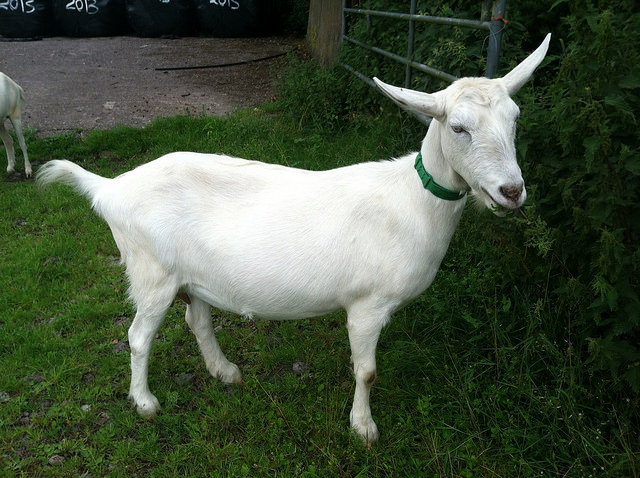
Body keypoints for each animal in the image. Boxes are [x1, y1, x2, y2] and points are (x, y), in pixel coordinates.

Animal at [36, 34, 550, 445]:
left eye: (516, 118)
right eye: (458, 128)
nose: (512, 192)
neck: (412, 201)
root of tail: (109, 188)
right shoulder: (367, 305)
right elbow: (367, 371)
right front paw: (364, 428)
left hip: (189, 274)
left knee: (196, 319)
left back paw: (226, 373)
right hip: (152, 272)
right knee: (139, 336)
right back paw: (145, 402)